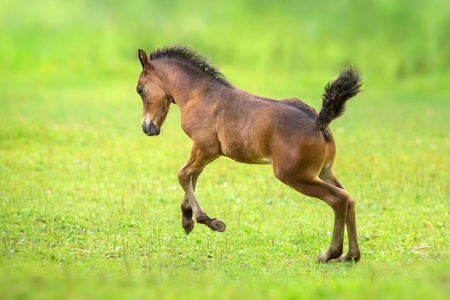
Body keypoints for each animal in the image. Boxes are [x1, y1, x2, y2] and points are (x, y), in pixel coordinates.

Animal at [136, 45, 362, 262]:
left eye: (140, 89)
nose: (147, 127)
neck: (199, 95)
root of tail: (319, 122)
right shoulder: (206, 151)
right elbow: (192, 177)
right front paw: (187, 220)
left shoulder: (205, 147)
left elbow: (183, 175)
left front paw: (209, 221)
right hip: (324, 171)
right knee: (350, 198)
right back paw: (351, 255)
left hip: (295, 176)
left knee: (338, 199)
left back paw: (330, 253)